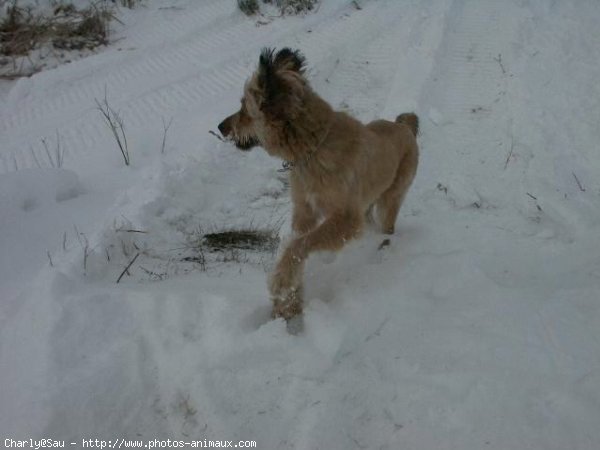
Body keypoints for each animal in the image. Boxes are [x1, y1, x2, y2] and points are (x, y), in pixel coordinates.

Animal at [218, 48, 420, 320]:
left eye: (244, 107)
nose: (220, 127)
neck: (312, 148)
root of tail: (403, 125)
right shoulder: (305, 212)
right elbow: (294, 244)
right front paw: (290, 300)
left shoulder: (345, 219)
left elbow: (300, 244)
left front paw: (281, 282)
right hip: (367, 202)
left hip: (392, 197)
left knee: (387, 223)